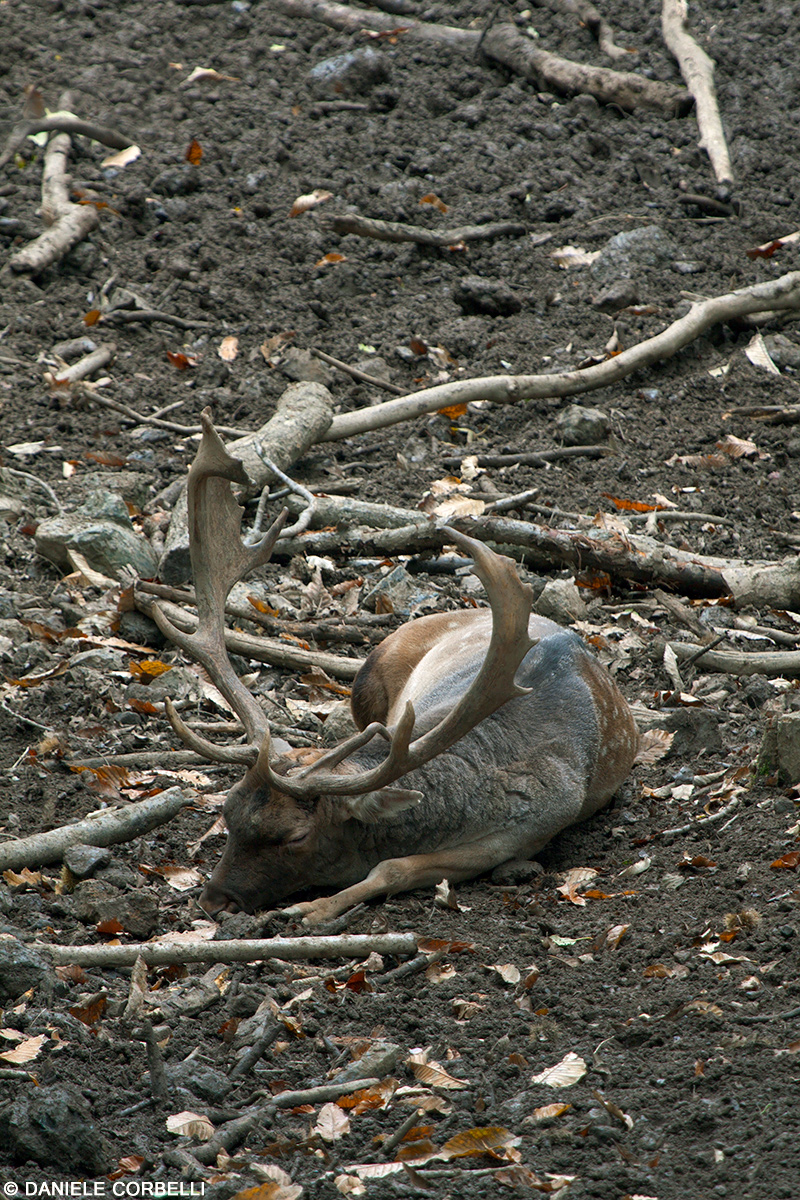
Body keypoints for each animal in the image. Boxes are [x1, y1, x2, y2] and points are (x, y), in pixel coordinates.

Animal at [153, 412, 642, 926]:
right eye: (227, 810)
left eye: (294, 837)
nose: (213, 902)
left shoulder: (528, 829)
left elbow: (393, 868)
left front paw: (312, 909)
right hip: (369, 676)